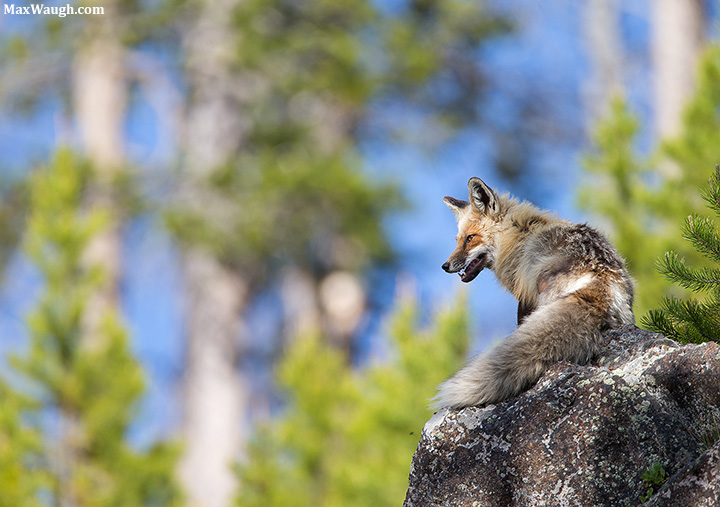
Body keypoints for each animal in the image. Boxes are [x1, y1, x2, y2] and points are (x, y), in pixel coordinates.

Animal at [434, 177, 634, 409]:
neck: (516, 237)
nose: (445, 266)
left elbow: (520, 321)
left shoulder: (526, 295)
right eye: (458, 240)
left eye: (470, 238)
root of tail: (604, 279)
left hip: (543, 287)